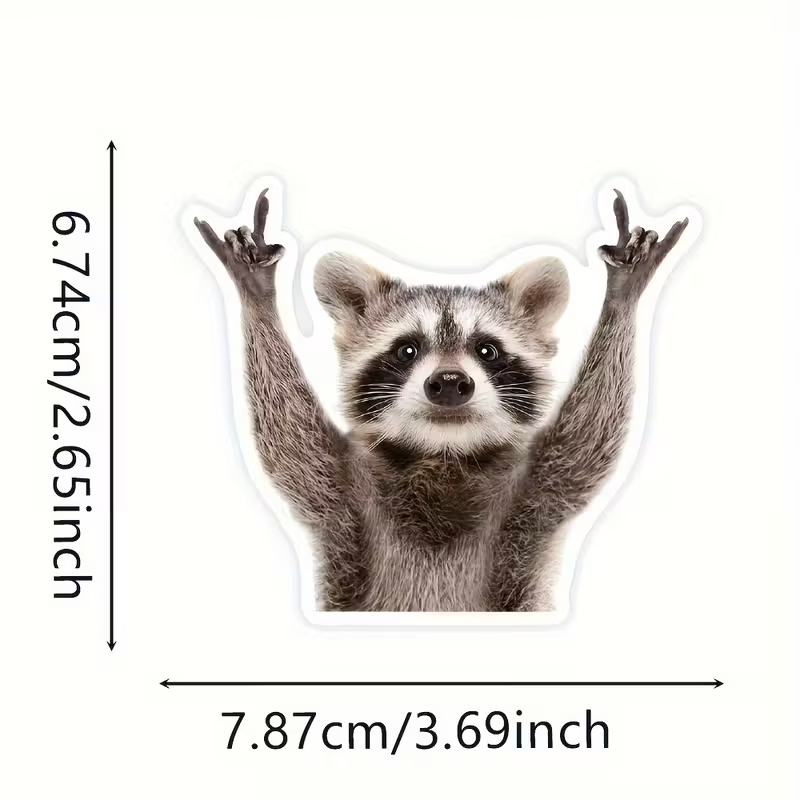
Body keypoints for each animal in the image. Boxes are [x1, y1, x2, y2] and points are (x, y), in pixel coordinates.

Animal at [195, 188, 688, 611]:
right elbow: (289, 440)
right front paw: (258, 297)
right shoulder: (341, 496)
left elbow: (588, 441)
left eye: (487, 350)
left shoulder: (535, 496)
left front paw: (622, 295)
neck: (443, 454)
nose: (450, 382)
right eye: (407, 350)